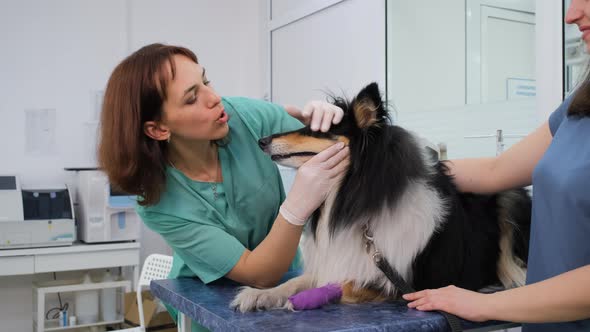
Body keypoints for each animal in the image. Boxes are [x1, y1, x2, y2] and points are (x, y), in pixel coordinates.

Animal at [230, 82, 532, 312]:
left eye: (318, 129)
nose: (261, 141)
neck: (350, 197)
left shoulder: (408, 285)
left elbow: (343, 284)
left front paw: (302, 299)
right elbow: (300, 280)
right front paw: (259, 294)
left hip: (509, 196)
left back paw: (511, 277)